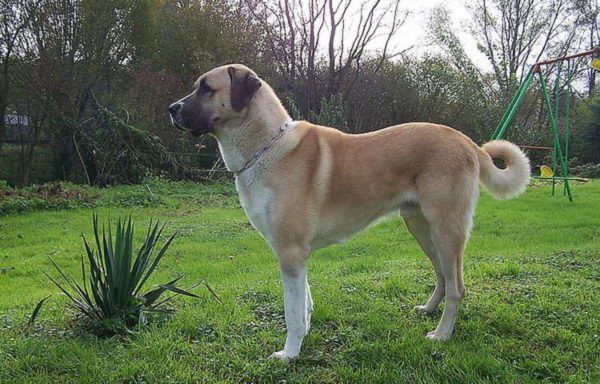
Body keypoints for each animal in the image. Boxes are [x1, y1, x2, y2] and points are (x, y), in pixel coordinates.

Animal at [169, 64, 528, 362]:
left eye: (206, 88)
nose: (171, 109)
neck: (265, 147)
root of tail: (467, 141)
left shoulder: (290, 253)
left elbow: (291, 312)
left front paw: (289, 354)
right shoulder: (296, 256)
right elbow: (304, 304)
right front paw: (303, 337)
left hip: (446, 229)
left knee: (456, 288)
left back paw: (441, 334)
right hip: (420, 226)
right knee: (441, 275)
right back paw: (427, 309)